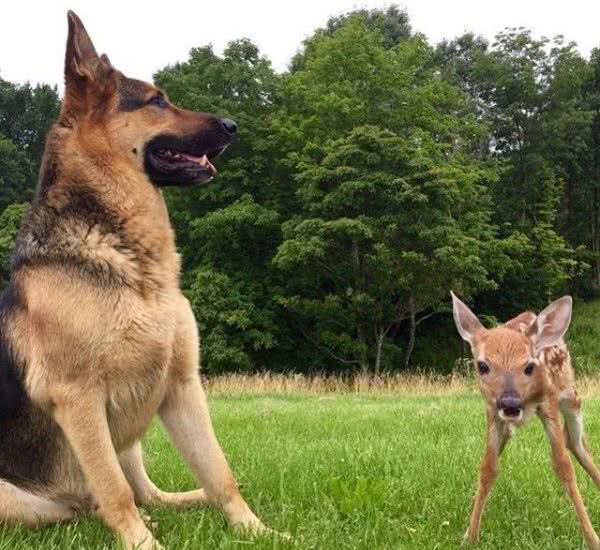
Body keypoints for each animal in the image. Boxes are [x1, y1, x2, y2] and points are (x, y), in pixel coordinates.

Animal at [0, 9, 270, 550]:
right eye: (157, 101)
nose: (234, 125)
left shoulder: (183, 386)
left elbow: (220, 472)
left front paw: (260, 530)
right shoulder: (79, 398)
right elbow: (114, 490)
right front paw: (143, 543)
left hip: (133, 431)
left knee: (151, 492)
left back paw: (182, 502)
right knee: (92, 503)